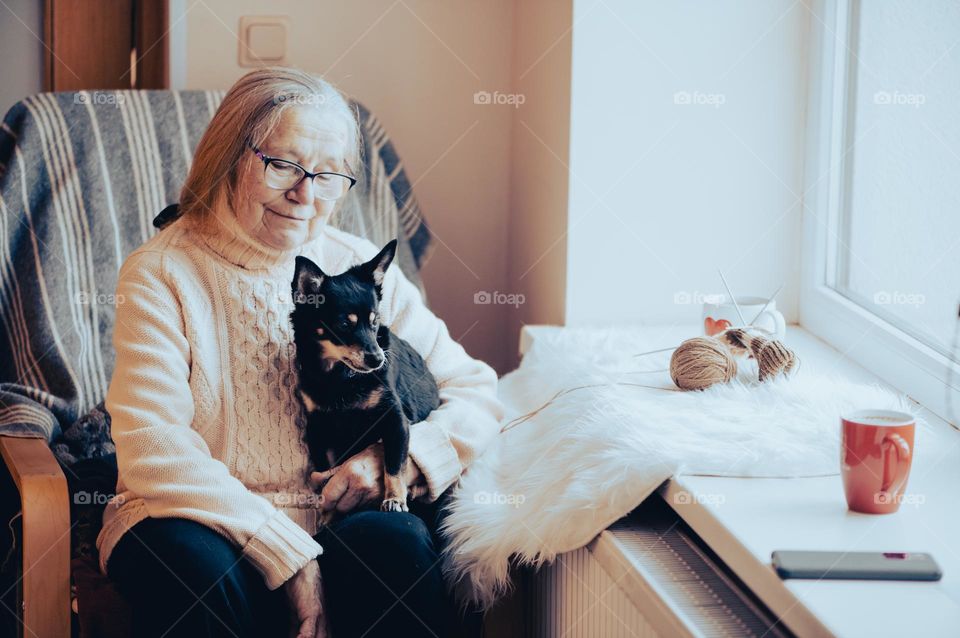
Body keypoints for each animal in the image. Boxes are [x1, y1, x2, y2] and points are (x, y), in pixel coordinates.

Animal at [286, 240, 440, 516]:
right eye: (344, 325)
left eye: (375, 322)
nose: (378, 359)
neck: (339, 377)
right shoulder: (318, 428)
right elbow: (324, 475)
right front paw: (327, 514)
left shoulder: (396, 420)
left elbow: (394, 464)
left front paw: (394, 499)